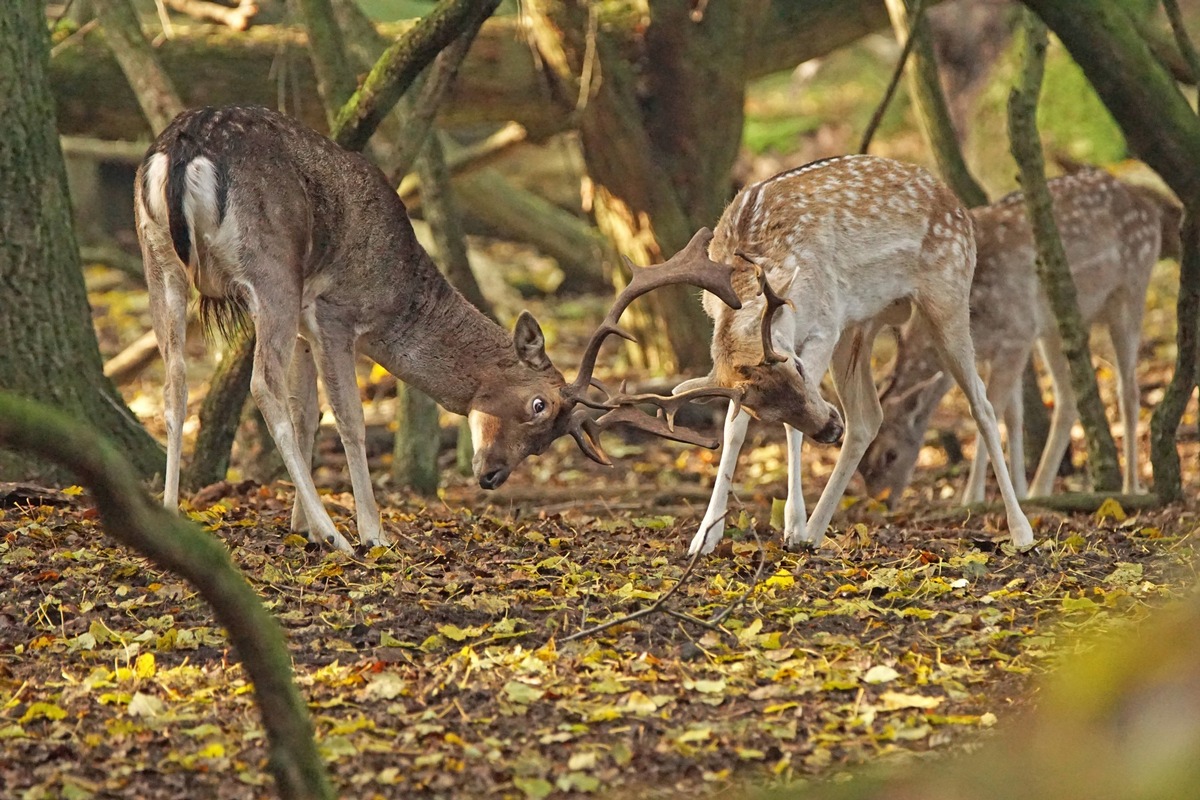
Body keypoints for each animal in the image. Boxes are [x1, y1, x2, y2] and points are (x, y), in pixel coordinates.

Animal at [133, 106, 739, 554]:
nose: (493, 475)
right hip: (271, 269)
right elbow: (347, 419)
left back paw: (170, 513)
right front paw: (369, 531)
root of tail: (181, 149)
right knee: (259, 384)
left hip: (159, 258)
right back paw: (340, 537)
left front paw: (300, 523)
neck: (399, 290)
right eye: (539, 405)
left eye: (547, 441)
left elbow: (308, 413)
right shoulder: (333, 311)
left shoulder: (308, 324)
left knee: (174, 383)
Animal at [672, 154, 1036, 556]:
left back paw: (1022, 533)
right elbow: (733, 430)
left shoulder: (824, 326)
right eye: (761, 410)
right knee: (868, 418)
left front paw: (792, 527)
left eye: (798, 367)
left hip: (948, 295)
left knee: (982, 405)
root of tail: (958, 205)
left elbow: (792, 430)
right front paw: (703, 538)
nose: (830, 428)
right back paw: (816, 531)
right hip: (861, 324)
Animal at [859, 169, 1176, 506]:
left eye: (890, 455)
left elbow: (992, 411)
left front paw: (972, 497)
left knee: (1128, 390)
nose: (884, 502)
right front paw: (1020, 491)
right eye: (862, 465)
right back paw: (1040, 489)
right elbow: (1014, 414)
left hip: (1131, 291)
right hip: (1054, 328)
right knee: (1068, 397)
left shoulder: (1018, 333)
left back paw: (1130, 487)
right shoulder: (1003, 346)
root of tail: (1149, 205)